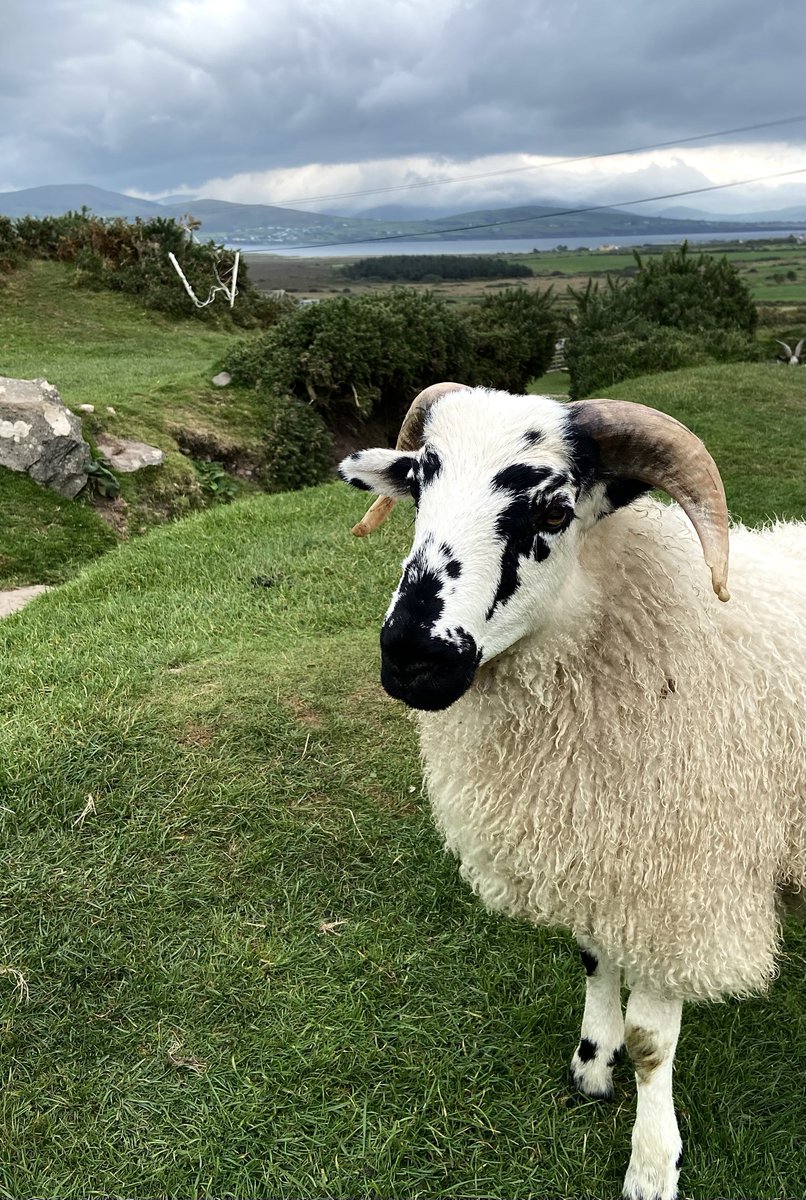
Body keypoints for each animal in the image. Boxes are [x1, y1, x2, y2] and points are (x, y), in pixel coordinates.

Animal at [338, 382, 806, 1200]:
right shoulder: (592, 843)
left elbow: (654, 1043)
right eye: (419, 483)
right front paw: (594, 1060)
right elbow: (593, 960)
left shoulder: (675, 882)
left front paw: (652, 1163)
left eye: (553, 513)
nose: (412, 659)